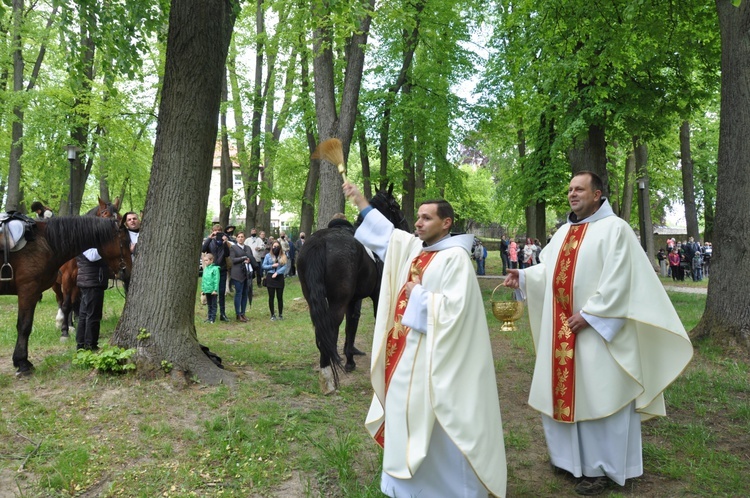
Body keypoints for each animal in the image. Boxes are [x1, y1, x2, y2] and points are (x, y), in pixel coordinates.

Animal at [0, 216, 131, 376]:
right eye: (125, 241)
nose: (128, 271)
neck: (45, 242)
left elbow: (71, 305)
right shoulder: (29, 290)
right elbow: (24, 326)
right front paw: (22, 363)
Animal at [53, 196, 121, 336]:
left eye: (119, 216)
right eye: (105, 214)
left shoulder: (77, 281)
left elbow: (73, 303)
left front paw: (70, 326)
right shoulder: (67, 278)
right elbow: (66, 304)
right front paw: (64, 331)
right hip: (55, 283)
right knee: (60, 300)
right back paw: (60, 320)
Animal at [296, 185, 412, 394]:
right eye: (395, 206)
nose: (407, 226)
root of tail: (320, 242)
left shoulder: (353, 299)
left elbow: (351, 325)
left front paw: (349, 360)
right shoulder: (376, 295)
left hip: (314, 299)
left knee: (322, 330)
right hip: (337, 302)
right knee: (331, 327)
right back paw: (327, 377)